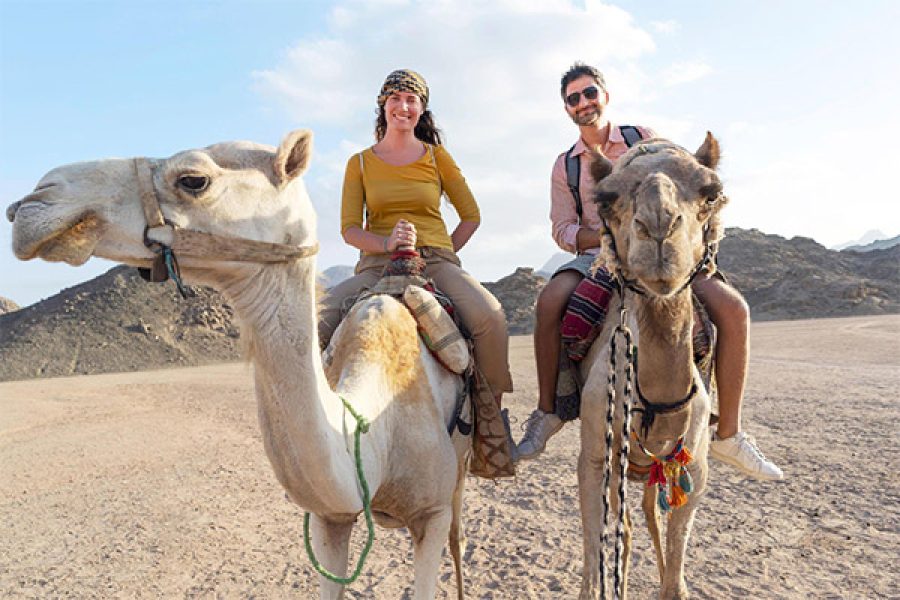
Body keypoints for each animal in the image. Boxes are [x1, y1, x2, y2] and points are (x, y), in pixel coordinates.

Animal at [5, 131, 472, 600]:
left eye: (193, 179)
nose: (33, 203)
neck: (377, 432)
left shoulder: (431, 514)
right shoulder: (331, 518)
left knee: (457, 535)